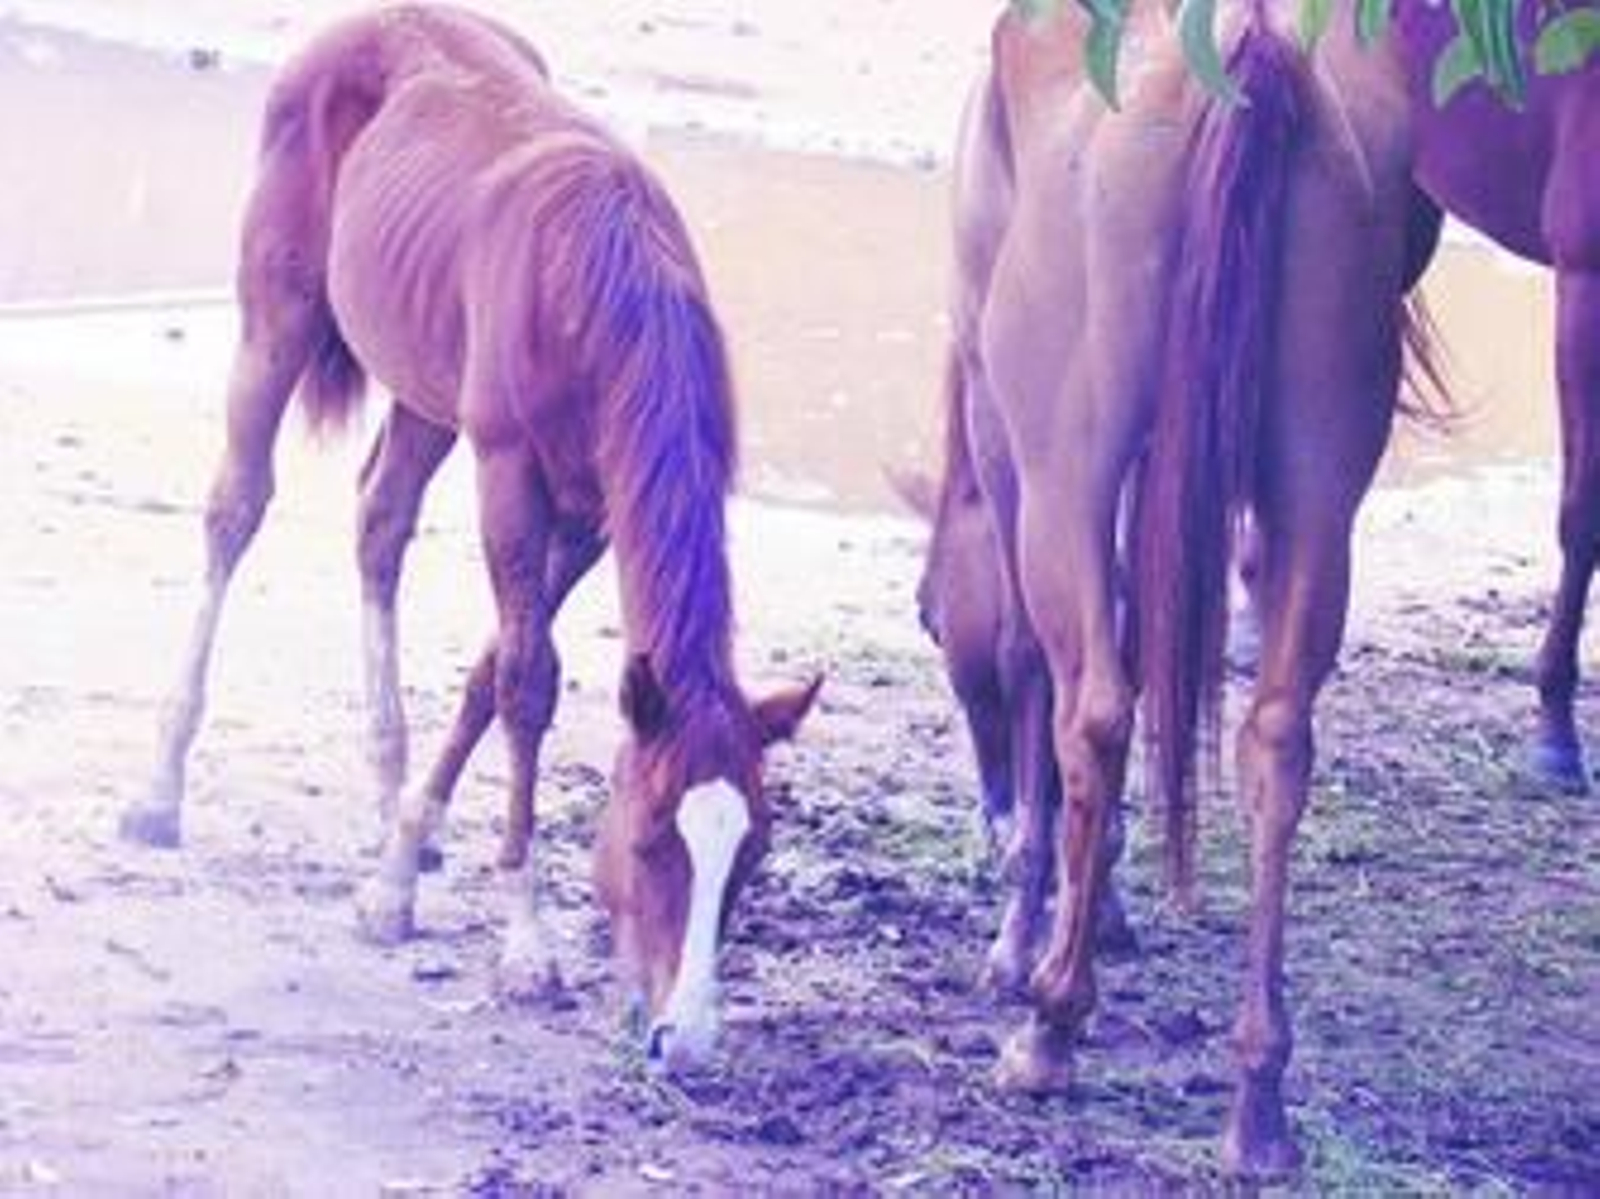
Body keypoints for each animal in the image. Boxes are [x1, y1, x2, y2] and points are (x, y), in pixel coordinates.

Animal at [117, 4, 819, 1068]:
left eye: (758, 848)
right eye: (652, 838)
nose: (687, 1039)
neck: (594, 289)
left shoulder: (590, 512)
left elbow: (497, 666)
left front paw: (400, 865)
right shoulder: (510, 474)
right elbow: (528, 681)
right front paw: (522, 943)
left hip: (422, 393)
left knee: (379, 522)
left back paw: (388, 792)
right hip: (276, 318)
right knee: (235, 509)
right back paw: (160, 791)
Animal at [970, 0, 1434, 1177]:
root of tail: (1249, 56)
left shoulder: (1006, 449)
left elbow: (1032, 665)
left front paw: (1027, 929)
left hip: (1064, 475)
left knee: (1092, 703)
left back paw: (1051, 1021)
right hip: (1316, 489)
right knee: (1275, 739)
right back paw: (1257, 1097)